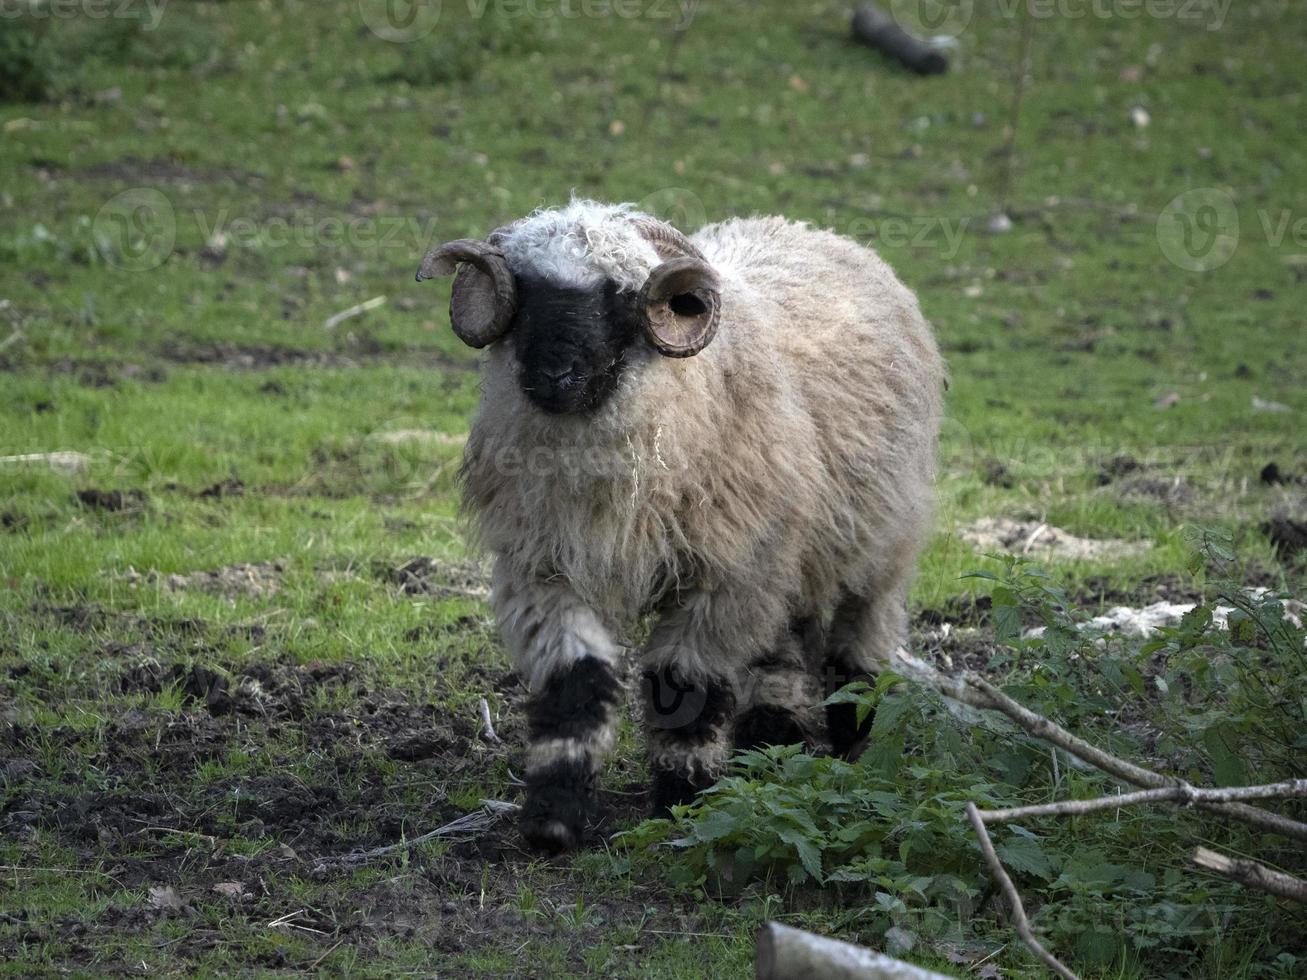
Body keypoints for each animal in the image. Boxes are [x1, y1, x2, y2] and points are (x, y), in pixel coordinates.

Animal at [418, 201, 941, 851]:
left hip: (873, 545)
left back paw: (849, 747)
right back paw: (773, 751)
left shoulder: (720, 577)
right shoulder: (544, 569)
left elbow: (682, 684)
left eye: (619, 298)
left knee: (858, 645)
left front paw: (681, 807)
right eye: (527, 292)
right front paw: (553, 820)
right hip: (784, 554)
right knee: (782, 647)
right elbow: (574, 684)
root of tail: (812, 230)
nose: (554, 374)